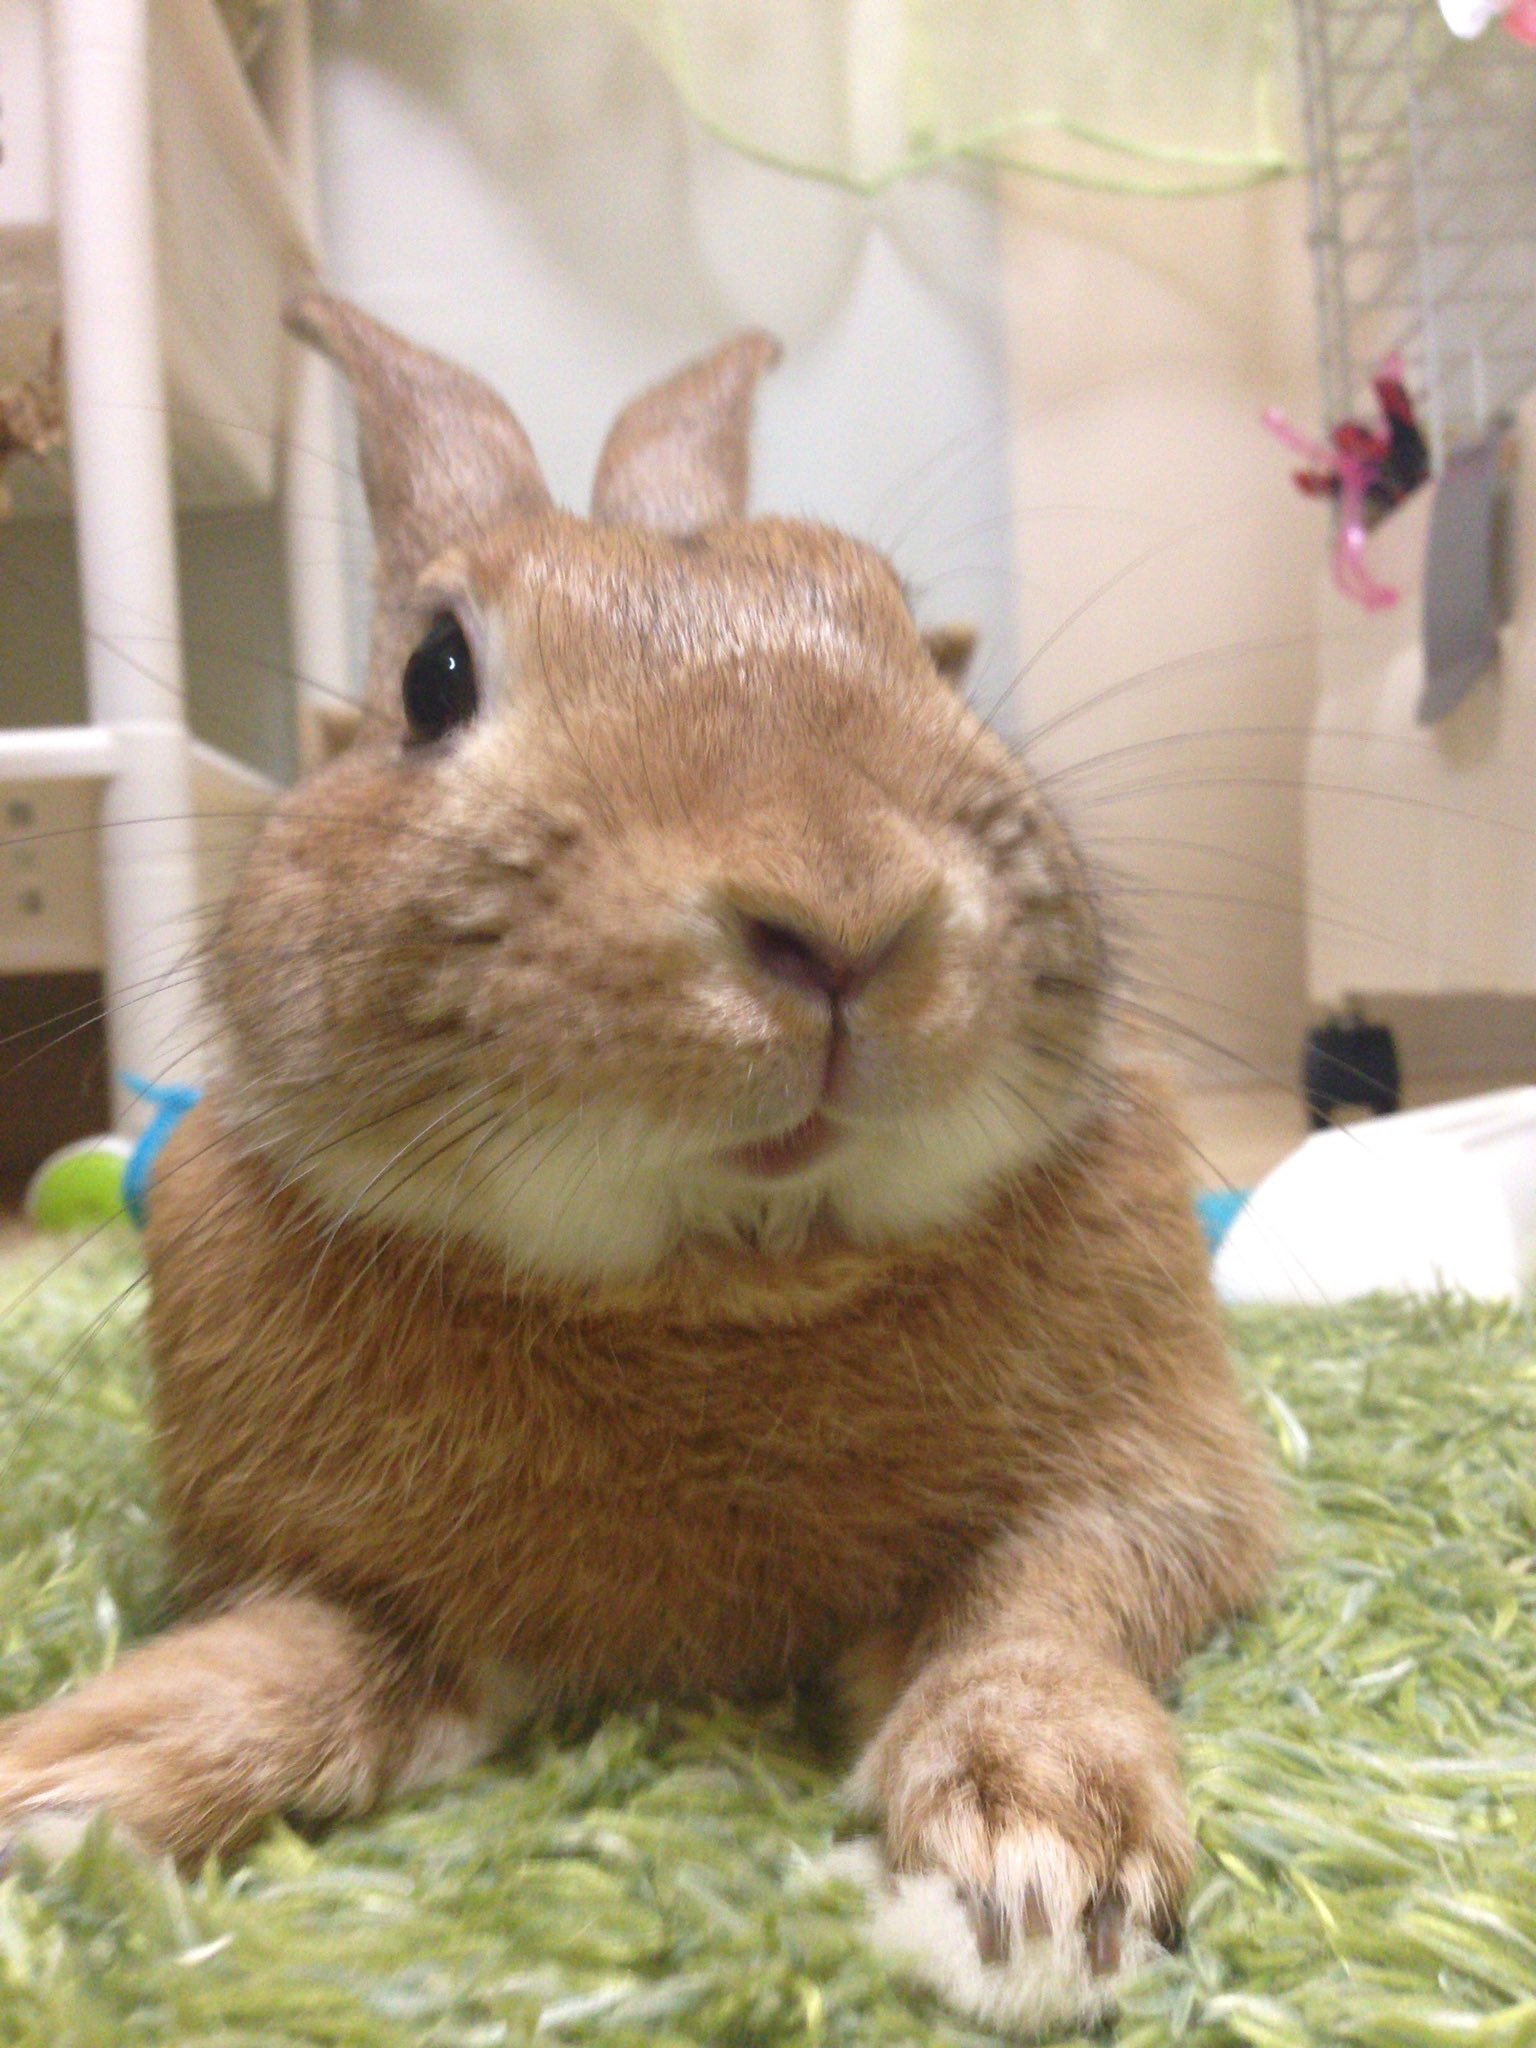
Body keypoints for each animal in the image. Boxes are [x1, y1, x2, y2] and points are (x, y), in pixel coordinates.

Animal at [0, 292, 1277, 2031]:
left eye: (913, 642)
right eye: (434, 674)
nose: (842, 910)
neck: (719, 1283)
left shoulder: (1139, 1491)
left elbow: (1041, 1613)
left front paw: (1034, 1869)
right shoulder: (338, 1583)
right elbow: (284, 1666)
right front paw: (67, 1782)